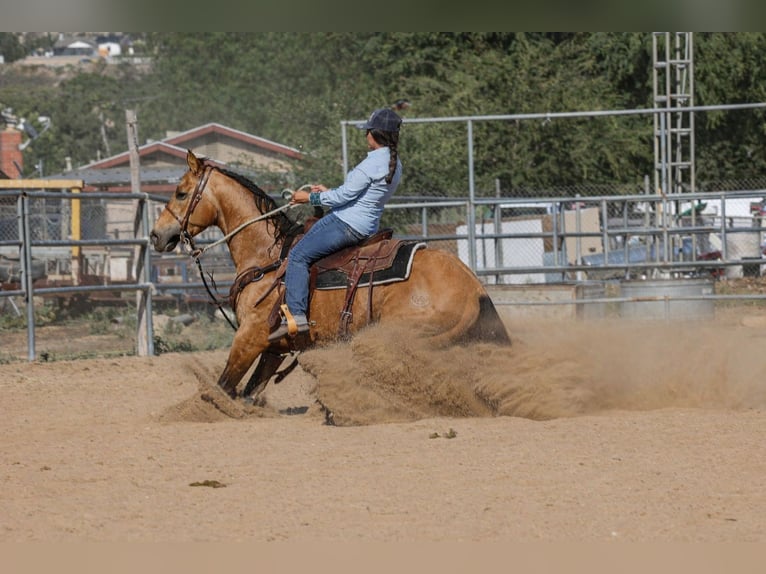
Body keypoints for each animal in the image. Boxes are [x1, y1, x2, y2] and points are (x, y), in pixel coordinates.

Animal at [150, 150, 510, 401]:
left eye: (181, 193)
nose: (156, 235)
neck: (267, 256)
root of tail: (473, 288)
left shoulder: (249, 337)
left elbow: (223, 388)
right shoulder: (273, 348)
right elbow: (249, 392)